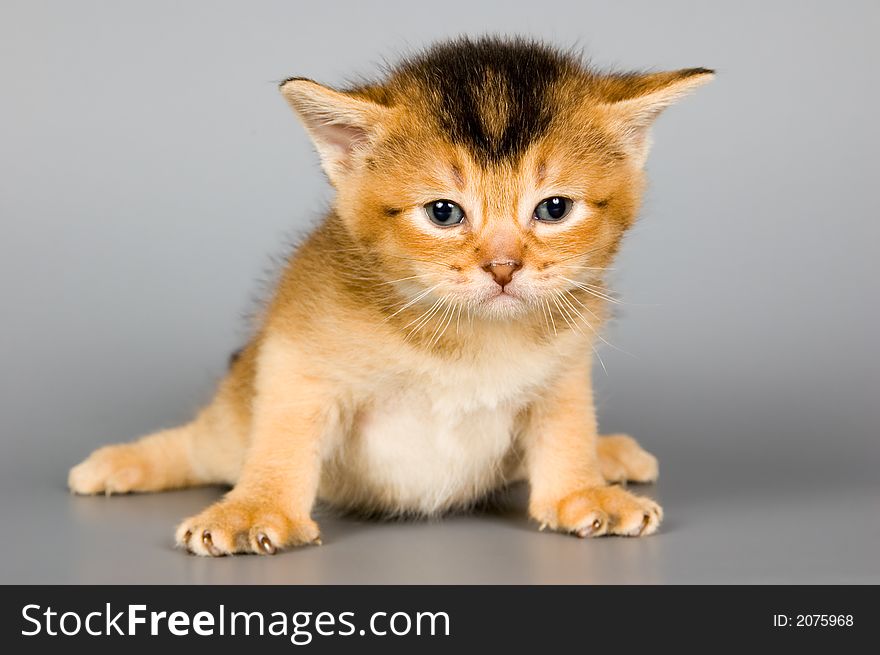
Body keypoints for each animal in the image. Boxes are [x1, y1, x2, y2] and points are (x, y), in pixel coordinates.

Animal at [70, 37, 716, 560]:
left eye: (554, 208)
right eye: (443, 213)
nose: (503, 268)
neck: (463, 340)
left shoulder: (563, 371)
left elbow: (569, 430)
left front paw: (582, 490)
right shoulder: (296, 355)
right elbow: (282, 435)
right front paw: (256, 509)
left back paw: (612, 454)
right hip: (231, 415)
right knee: (204, 443)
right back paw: (120, 464)